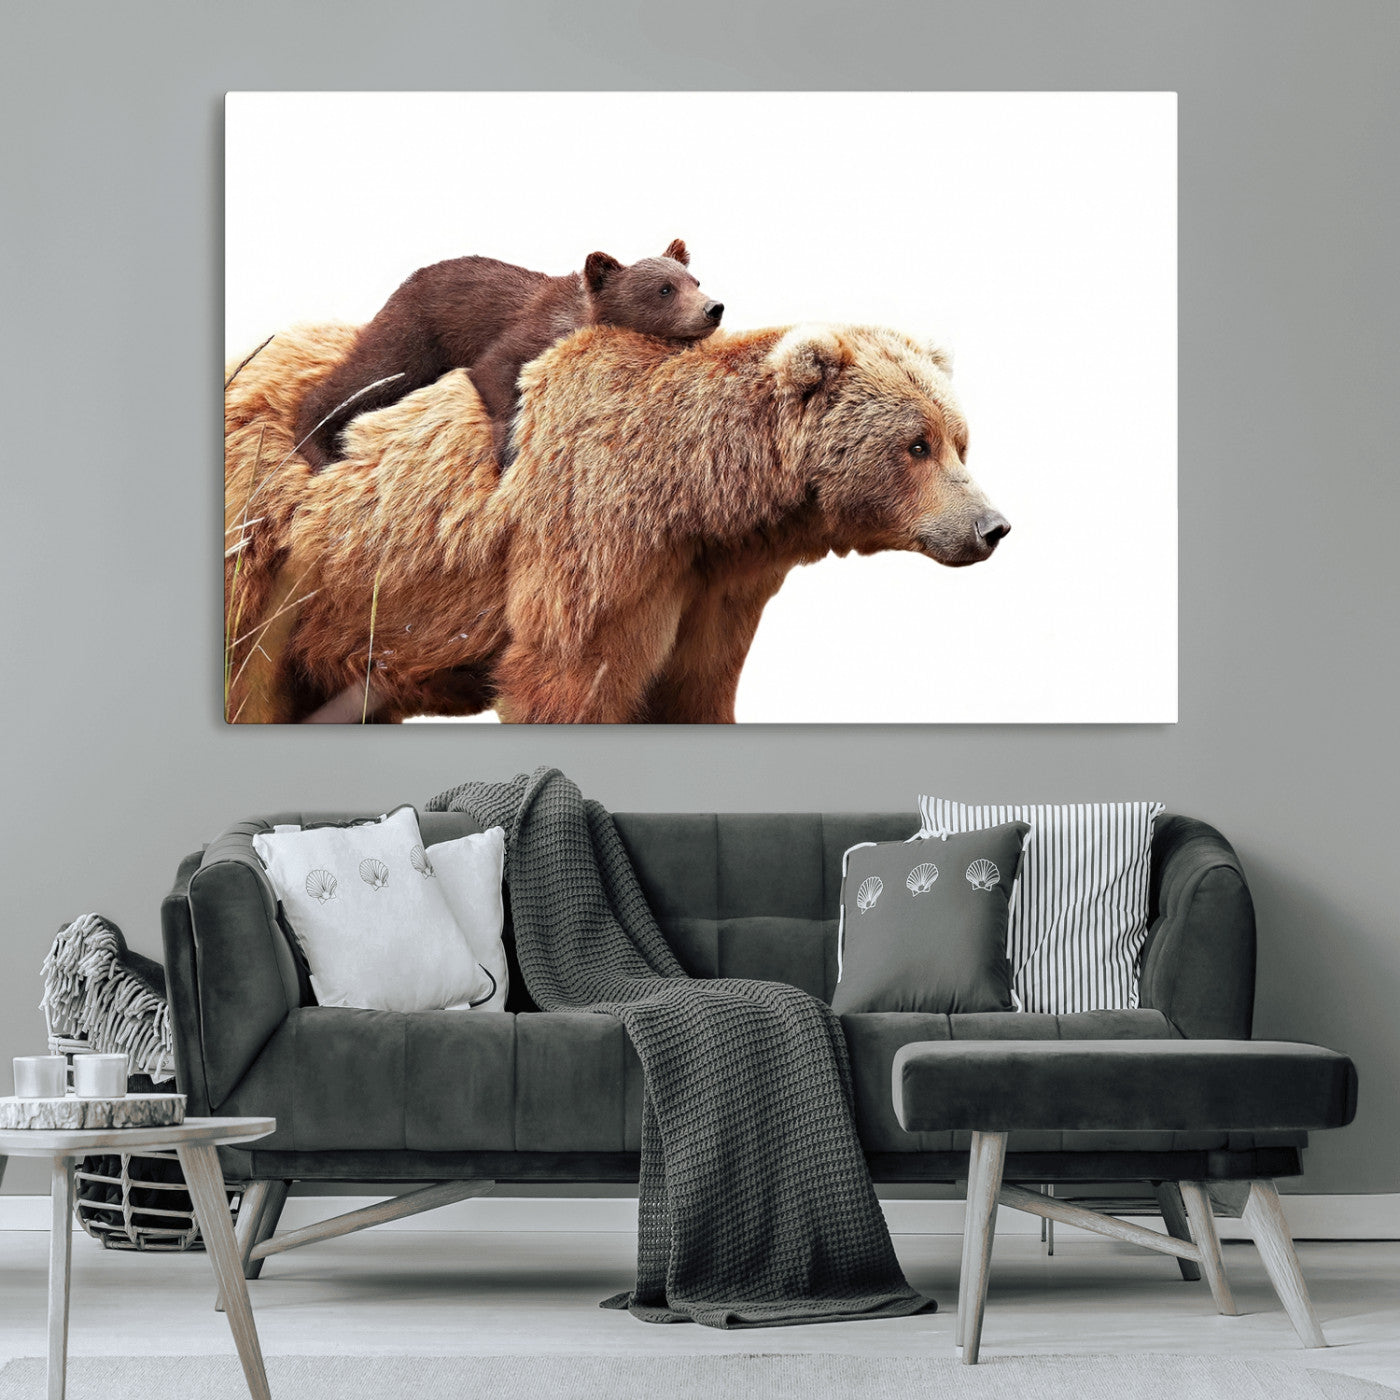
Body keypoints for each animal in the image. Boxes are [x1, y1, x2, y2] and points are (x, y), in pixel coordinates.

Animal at [224, 321, 1008, 724]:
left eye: (960, 440)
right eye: (916, 444)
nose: (991, 526)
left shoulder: (710, 592)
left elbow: (694, 690)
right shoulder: (596, 548)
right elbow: (567, 679)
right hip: (267, 559)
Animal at [291, 239, 723, 471]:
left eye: (695, 280)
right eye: (664, 289)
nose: (713, 308)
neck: (578, 317)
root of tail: (406, 282)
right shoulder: (526, 332)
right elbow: (495, 370)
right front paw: (508, 450)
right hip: (415, 333)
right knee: (369, 373)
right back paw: (318, 447)